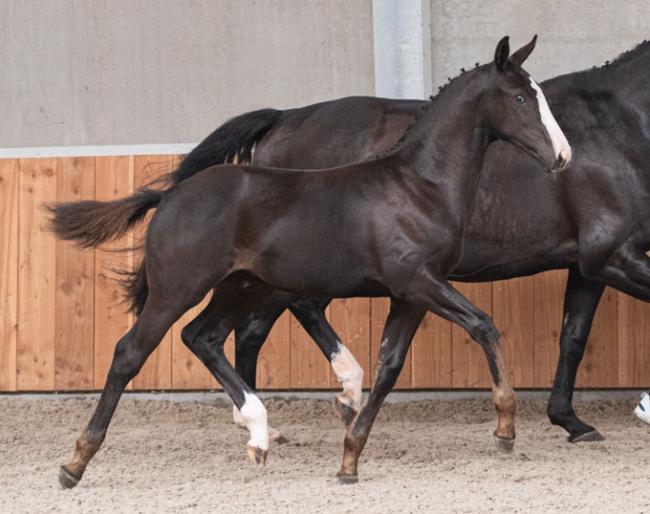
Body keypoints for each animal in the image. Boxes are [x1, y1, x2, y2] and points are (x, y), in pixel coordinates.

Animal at [165, 39, 648, 444]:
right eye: (520, 99)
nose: (561, 157)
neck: (617, 126)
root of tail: (284, 120)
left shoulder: (589, 264)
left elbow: (573, 337)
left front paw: (571, 421)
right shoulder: (611, 255)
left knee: (258, 328)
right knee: (274, 320)